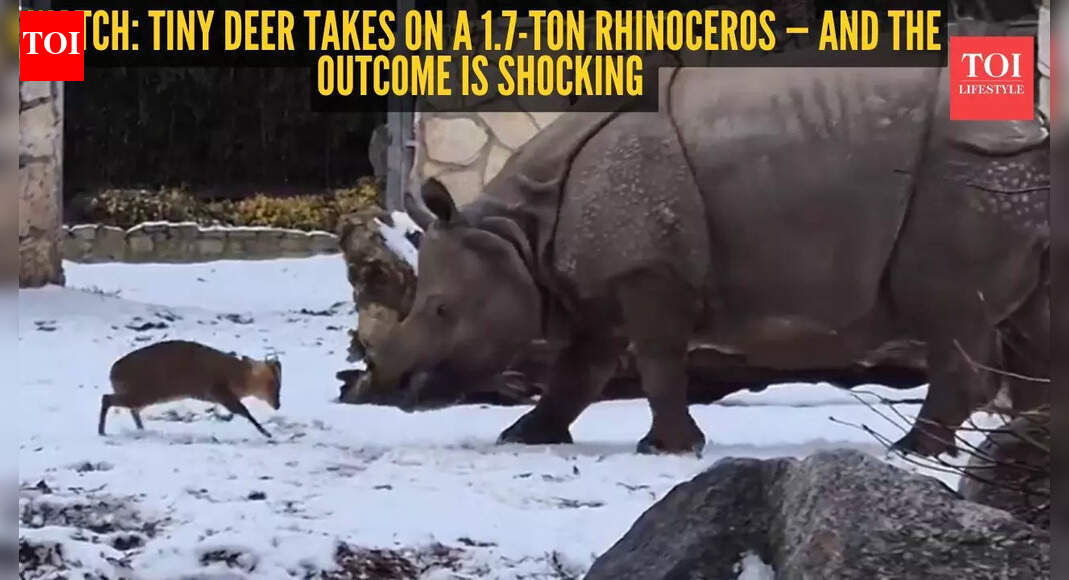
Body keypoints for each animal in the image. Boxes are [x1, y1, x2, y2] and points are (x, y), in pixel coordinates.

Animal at [351, 65, 1050, 457]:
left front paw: (667, 450)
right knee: (1034, 316)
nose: (384, 385)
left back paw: (915, 451)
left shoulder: (650, 273)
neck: (517, 234)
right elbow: (580, 371)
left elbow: (659, 363)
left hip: (967, 172)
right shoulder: (595, 289)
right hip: (1014, 176)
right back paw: (1029, 444)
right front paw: (525, 436)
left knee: (950, 313)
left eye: (442, 310)